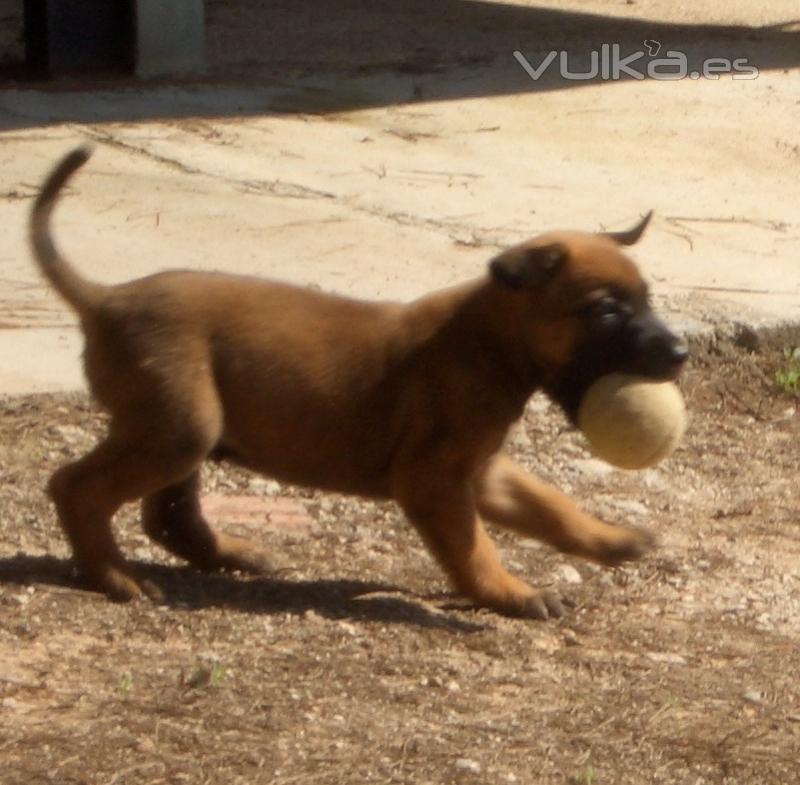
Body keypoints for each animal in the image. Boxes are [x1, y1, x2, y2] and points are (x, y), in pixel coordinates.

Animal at [31, 144, 688, 616]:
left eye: (646, 300)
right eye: (606, 311)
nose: (681, 353)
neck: (486, 341)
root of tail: (104, 299)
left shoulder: (481, 472)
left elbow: (551, 507)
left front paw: (612, 541)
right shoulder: (435, 480)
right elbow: (473, 547)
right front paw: (509, 593)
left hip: (182, 429)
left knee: (167, 513)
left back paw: (225, 555)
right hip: (180, 427)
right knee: (75, 488)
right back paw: (113, 576)